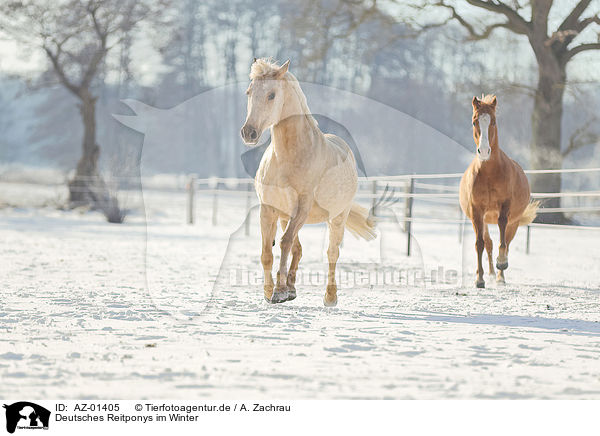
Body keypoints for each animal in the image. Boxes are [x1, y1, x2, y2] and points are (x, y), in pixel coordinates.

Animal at [460, 95, 540, 288]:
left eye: (494, 122)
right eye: (474, 121)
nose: (484, 151)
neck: (489, 173)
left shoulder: (505, 207)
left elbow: (502, 236)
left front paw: (501, 263)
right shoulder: (476, 211)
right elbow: (479, 244)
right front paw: (479, 279)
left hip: (514, 222)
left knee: (507, 242)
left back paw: (500, 276)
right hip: (484, 220)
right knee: (488, 243)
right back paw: (488, 273)